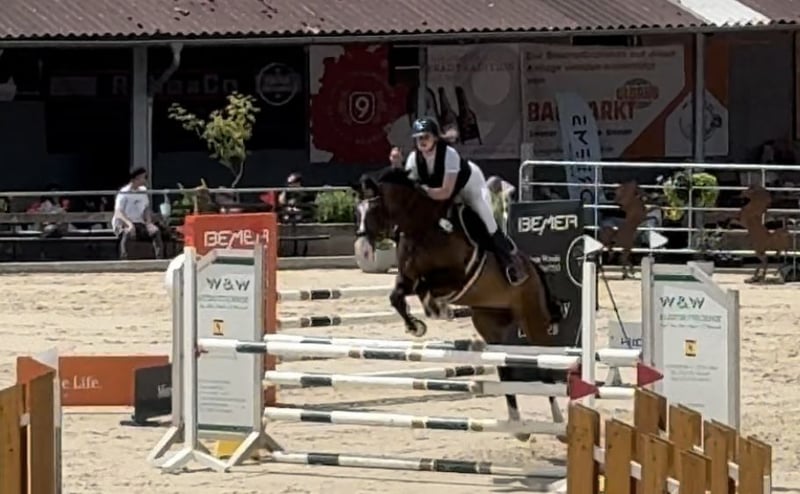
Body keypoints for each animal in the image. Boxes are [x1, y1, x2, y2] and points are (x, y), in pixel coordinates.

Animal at [355, 167, 565, 442]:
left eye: (374, 208)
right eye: (357, 209)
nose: (361, 245)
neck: (422, 227)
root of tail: (534, 269)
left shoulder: (456, 276)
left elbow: (424, 286)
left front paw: (437, 310)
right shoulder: (407, 279)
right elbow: (397, 296)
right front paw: (417, 326)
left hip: (533, 320)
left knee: (546, 368)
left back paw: (560, 424)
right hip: (489, 324)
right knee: (505, 369)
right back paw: (518, 426)